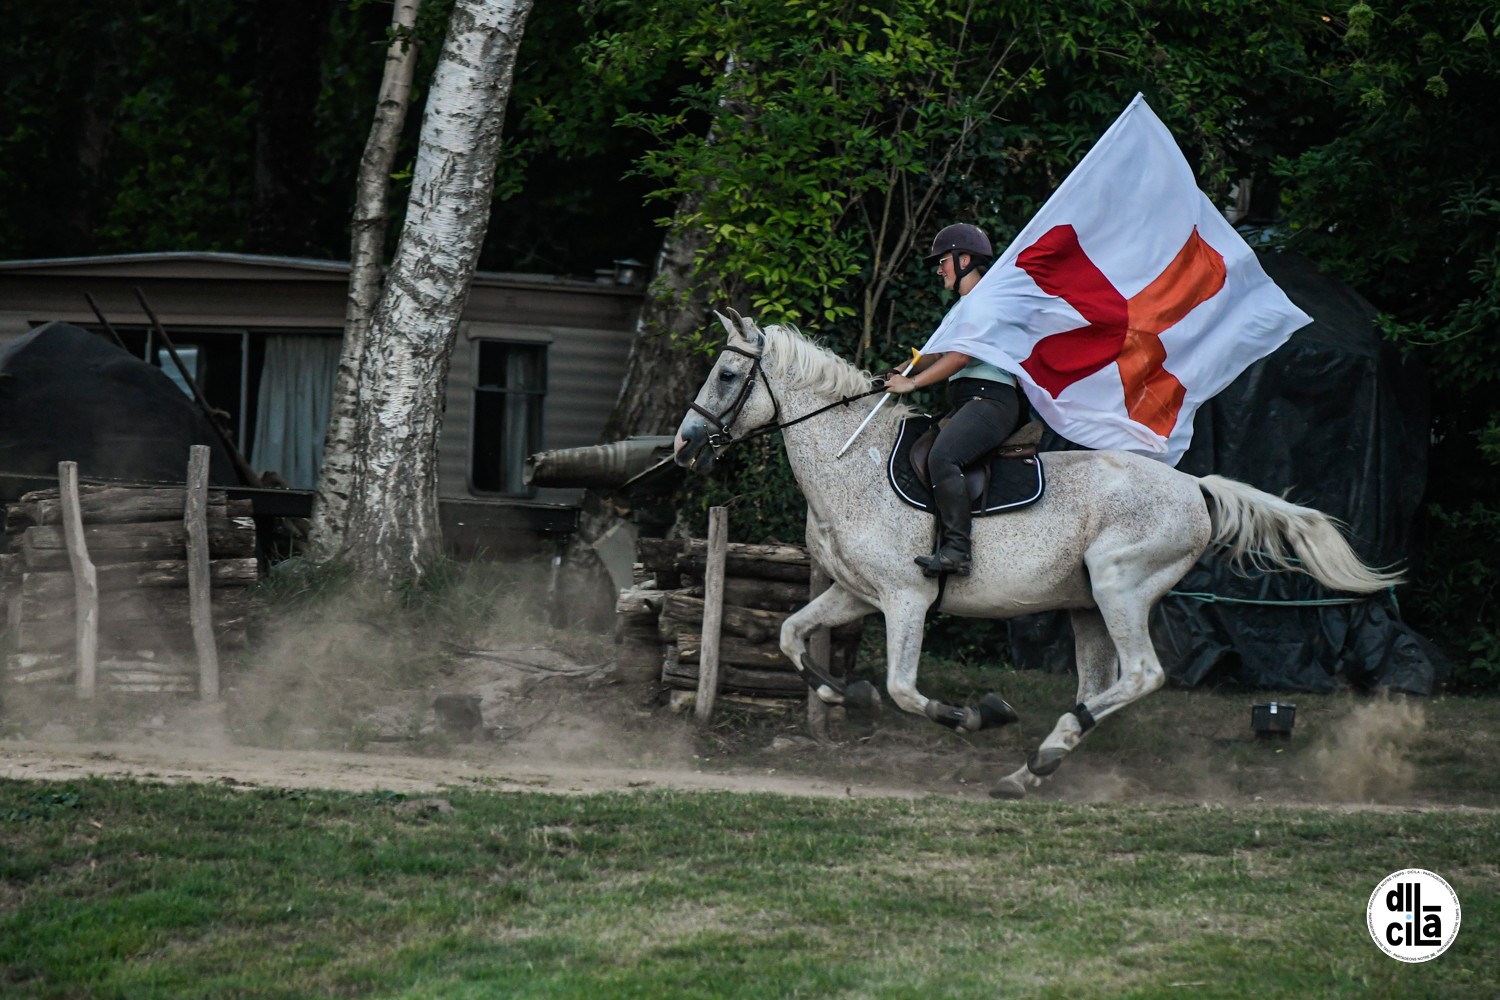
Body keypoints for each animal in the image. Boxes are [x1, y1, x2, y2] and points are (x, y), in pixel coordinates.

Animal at [675, 313, 1398, 797]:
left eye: (729, 375)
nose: (684, 447)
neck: (852, 460)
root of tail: (1195, 487)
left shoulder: (907, 598)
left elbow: (905, 688)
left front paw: (973, 714)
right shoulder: (856, 592)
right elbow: (790, 637)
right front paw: (846, 694)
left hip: (1119, 585)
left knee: (1142, 675)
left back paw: (1044, 755)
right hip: (1087, 607)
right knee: (1100, 685)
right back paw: (1033, 766)